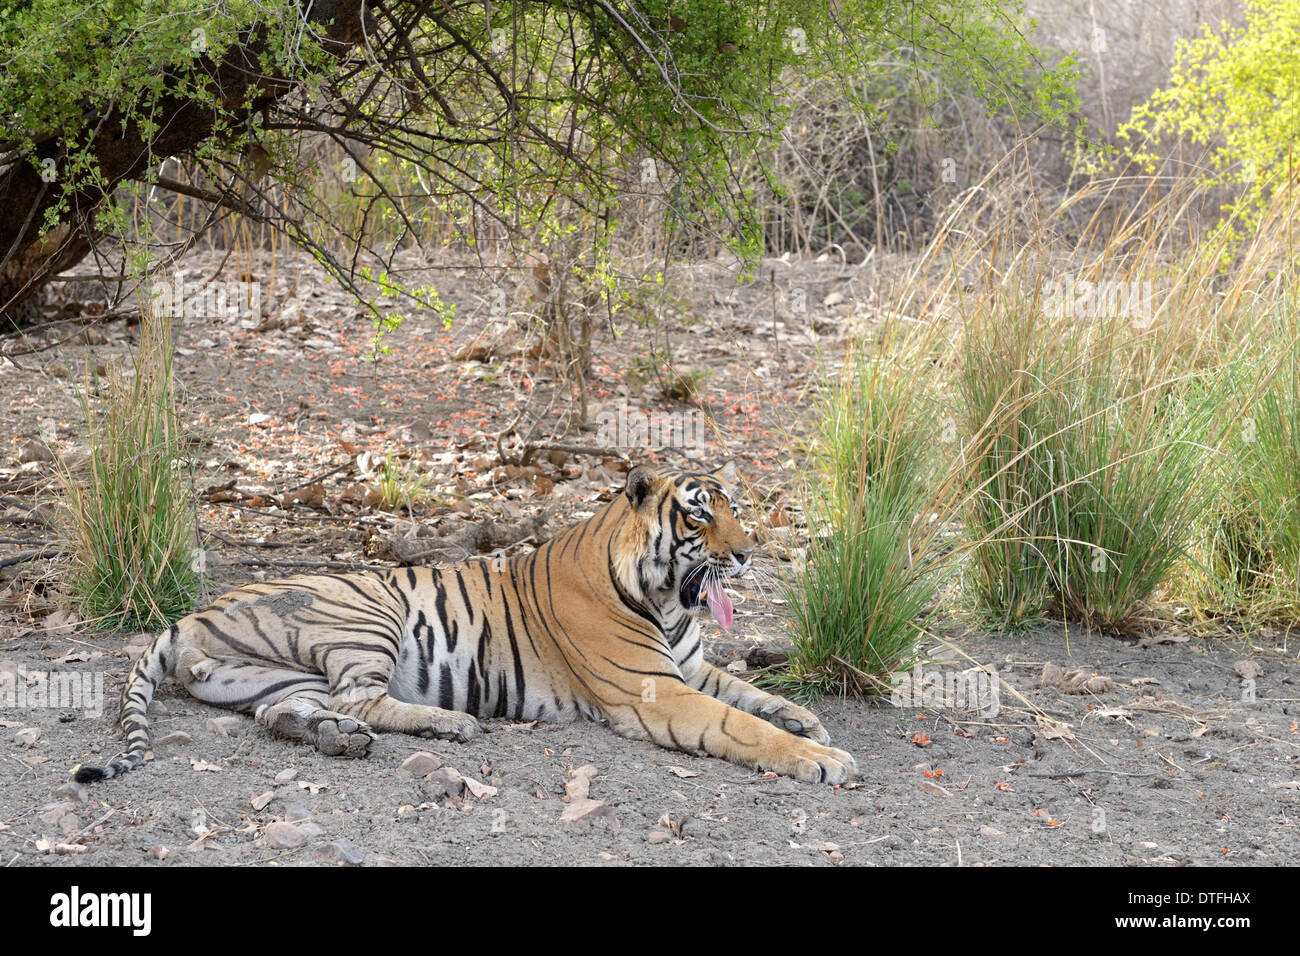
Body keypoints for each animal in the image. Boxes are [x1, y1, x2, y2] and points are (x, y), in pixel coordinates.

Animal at [76, 463, 857, 785]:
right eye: (699, 516)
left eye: (735, 511)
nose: (750, 552)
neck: (666, 601)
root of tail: (191, 614)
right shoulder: (657, 690)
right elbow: (738, 724)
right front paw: (825, 759)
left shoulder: (689, 668)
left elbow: (750, 694)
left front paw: (807, 720)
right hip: (367, 611)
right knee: (362, 697)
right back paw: (449, 725)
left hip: (267, 679)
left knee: (288, 714)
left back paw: (337, 738)